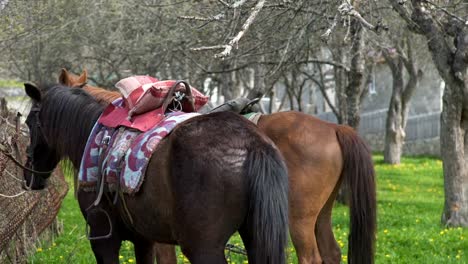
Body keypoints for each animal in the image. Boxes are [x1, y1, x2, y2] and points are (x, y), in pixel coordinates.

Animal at [23, 82, 290, 264]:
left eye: (28, 123)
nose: (29, 176)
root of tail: (252, 144)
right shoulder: (144, 240)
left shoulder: (103, 239)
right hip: (255, 239)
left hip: (204, 248)